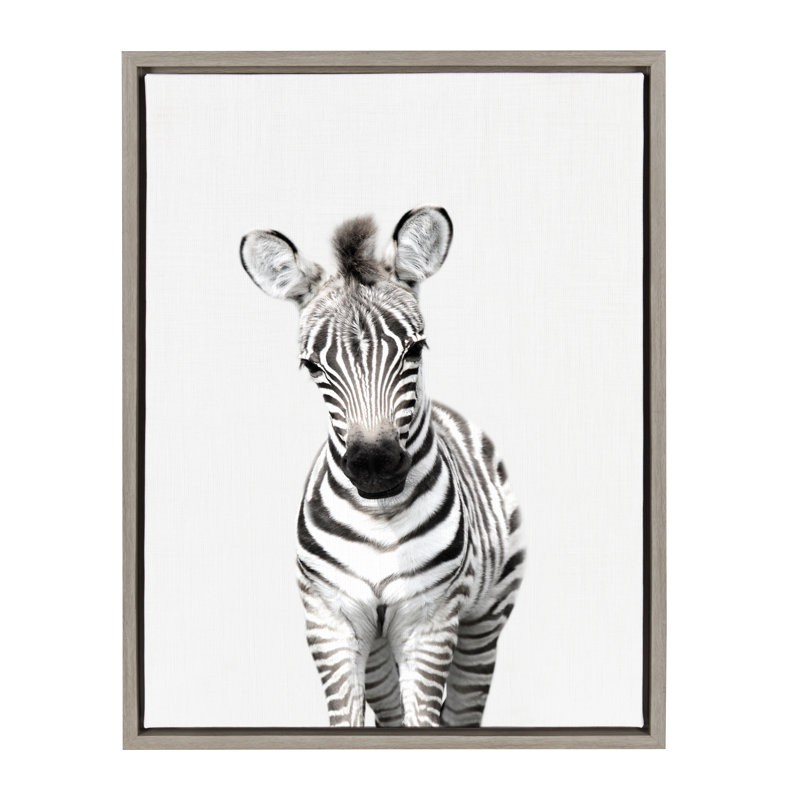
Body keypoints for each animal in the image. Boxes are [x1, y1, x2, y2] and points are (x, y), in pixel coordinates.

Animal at [240, 206, 525, 727]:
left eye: (415, 349)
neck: (380, 521)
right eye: (312, 366)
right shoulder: (329, 620)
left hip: (487, 615)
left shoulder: (430, 621)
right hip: (374, 649)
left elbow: (426, 720)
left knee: (464, 709)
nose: (375, 467)